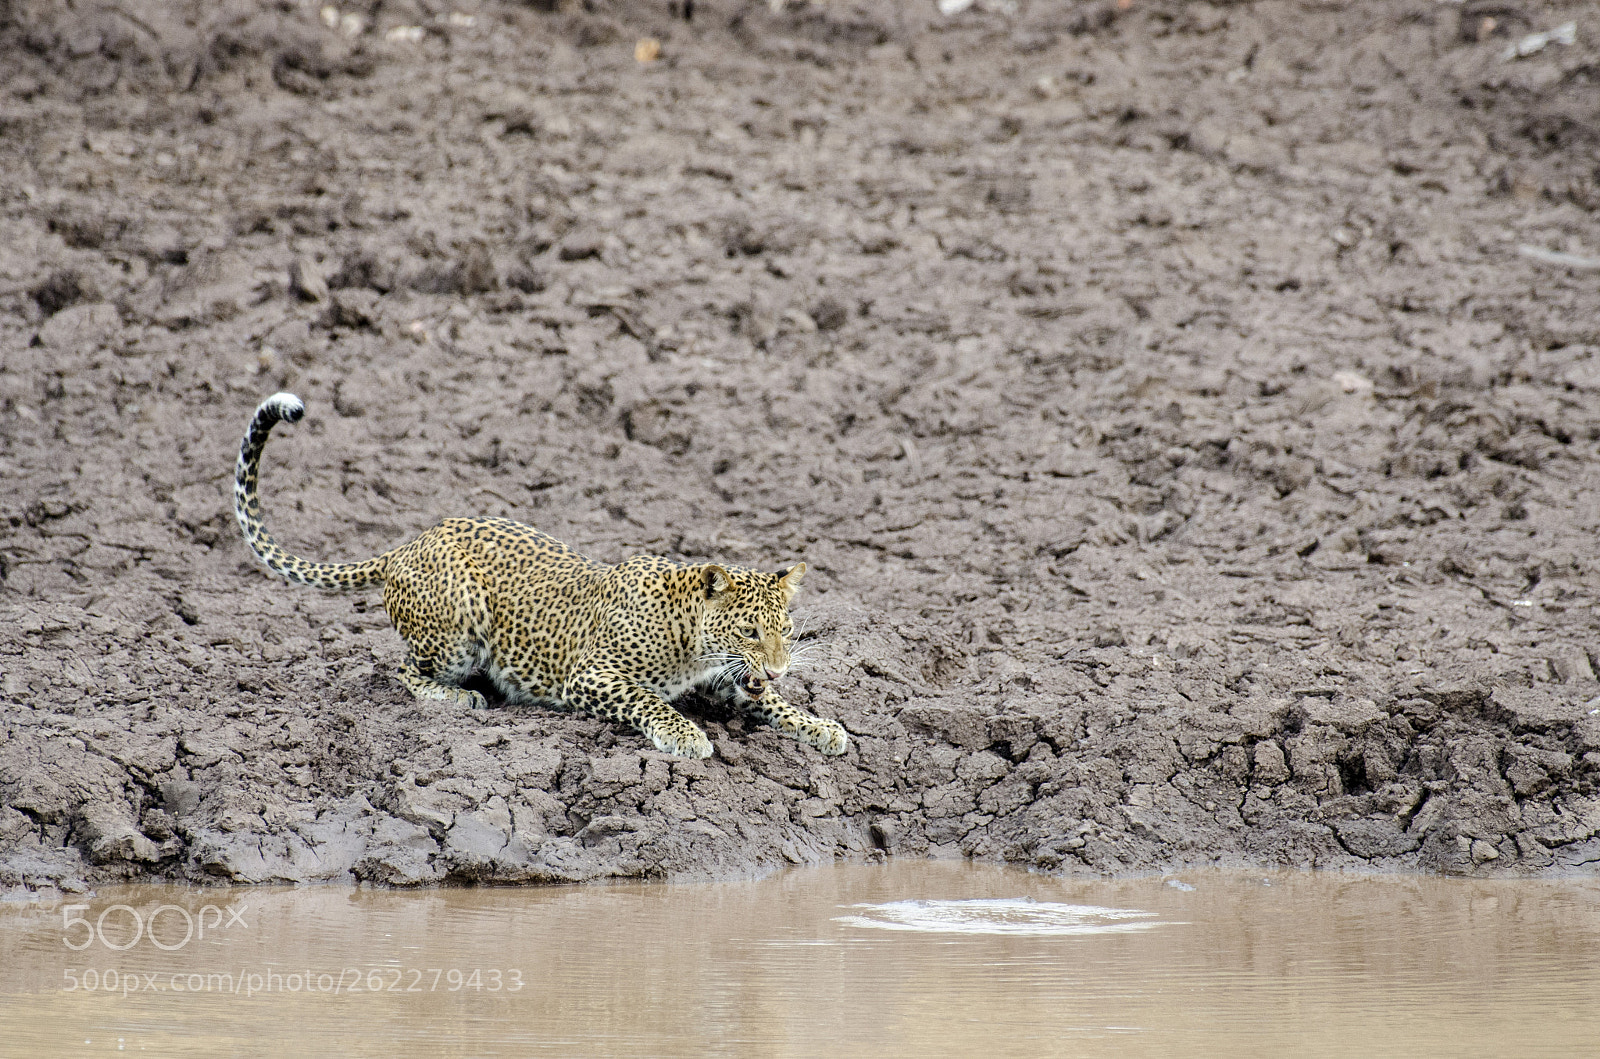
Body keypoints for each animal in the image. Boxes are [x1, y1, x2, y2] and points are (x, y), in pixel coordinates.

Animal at [233, 392, 848, 759]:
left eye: (785, 632)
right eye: (748, 631)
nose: (780, 665)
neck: (691, 640)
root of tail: (412, 541)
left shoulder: (729, 680)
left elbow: (771, 702)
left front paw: (820, 726)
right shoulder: (592, 675)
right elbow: (650, 700)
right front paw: (687, 735)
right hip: (459, 629)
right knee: (402, 669)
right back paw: (457, 698)